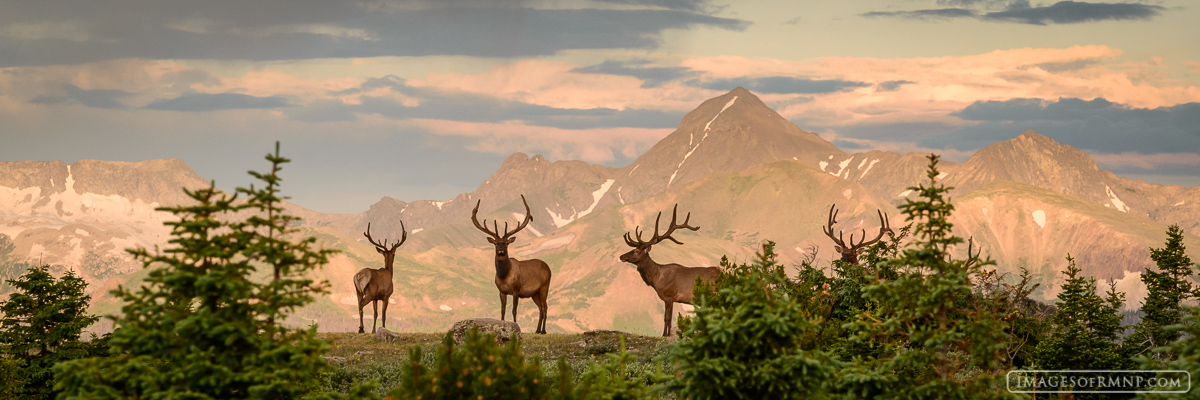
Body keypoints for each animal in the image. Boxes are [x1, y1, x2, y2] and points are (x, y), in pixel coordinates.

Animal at [472, 193, 556, 333]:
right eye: (496, 243)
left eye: (506, 243)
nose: (501, 248)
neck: (504, 276)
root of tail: (548, 267)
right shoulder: (501, 290)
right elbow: (503, 310)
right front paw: (502, 325)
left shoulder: (517, 289)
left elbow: (514, 310)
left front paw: (516, 326)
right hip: (534, 293)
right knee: (540, 307)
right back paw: (537, 330)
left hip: (545, 286)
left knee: (545, 307)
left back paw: (543, 330)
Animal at [624, 204, 715, 333]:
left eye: (636, 251)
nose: (622, 256)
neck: (656, 279)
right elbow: (669, 318)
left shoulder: (669, 296)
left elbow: (667, 318)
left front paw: (665, 334)